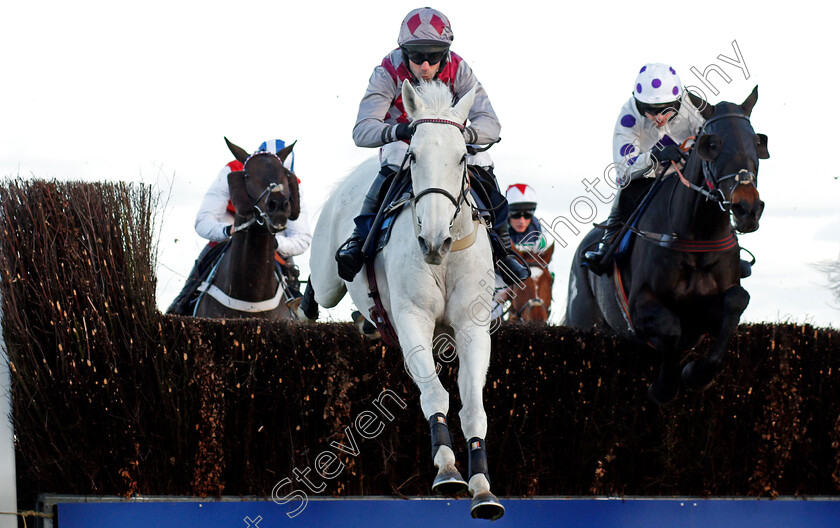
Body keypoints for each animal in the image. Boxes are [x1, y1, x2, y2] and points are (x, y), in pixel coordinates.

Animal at [302, 81, 506, 520]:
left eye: (462, 156)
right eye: (414, 155)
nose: (433, 240)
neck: (446, 254)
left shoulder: (472, 327)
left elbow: (472, 405)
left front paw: (483, 488)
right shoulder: (413, 318)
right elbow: (435, 392)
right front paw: (447, 469)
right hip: (328, 274)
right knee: (319, 286)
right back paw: (307, 306)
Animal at [564, 86, 768, 404]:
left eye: (756, 142)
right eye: (712, 144)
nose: (747, 208)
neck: (696, 235)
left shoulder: (705, 316)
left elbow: (736, 301)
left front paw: (696, 375)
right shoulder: (639, 308)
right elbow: (670, 326)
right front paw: (664, 387)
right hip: (582, 319)